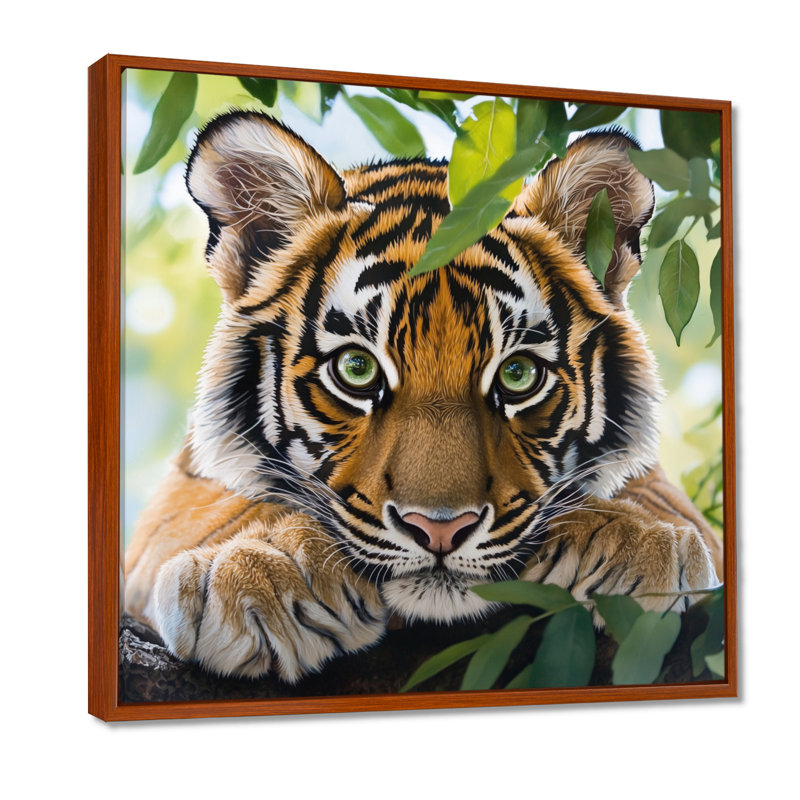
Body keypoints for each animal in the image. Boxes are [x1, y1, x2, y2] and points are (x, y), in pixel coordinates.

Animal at [124, 110, 723, 683]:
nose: (440, 529)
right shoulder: (181, 488)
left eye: (518, 375)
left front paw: (636, 541)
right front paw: (265, 568)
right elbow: (215, 508)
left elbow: (660, 498)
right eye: (357, 369)